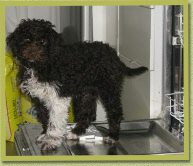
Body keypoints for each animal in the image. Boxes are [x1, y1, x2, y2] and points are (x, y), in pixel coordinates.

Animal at [6, 18, 148, 151]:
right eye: (26, 39)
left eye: (42, 41)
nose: (33, 53)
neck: (41, 66)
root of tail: (115, 56)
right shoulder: (39, 98)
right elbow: (45, 118)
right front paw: (45, 134)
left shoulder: (58, 97)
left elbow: (54, 123)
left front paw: (51, 141)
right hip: (85, 93)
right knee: (88, 113)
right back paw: (76, 132)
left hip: (109, 89)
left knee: (115, 112)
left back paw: (112, 136)